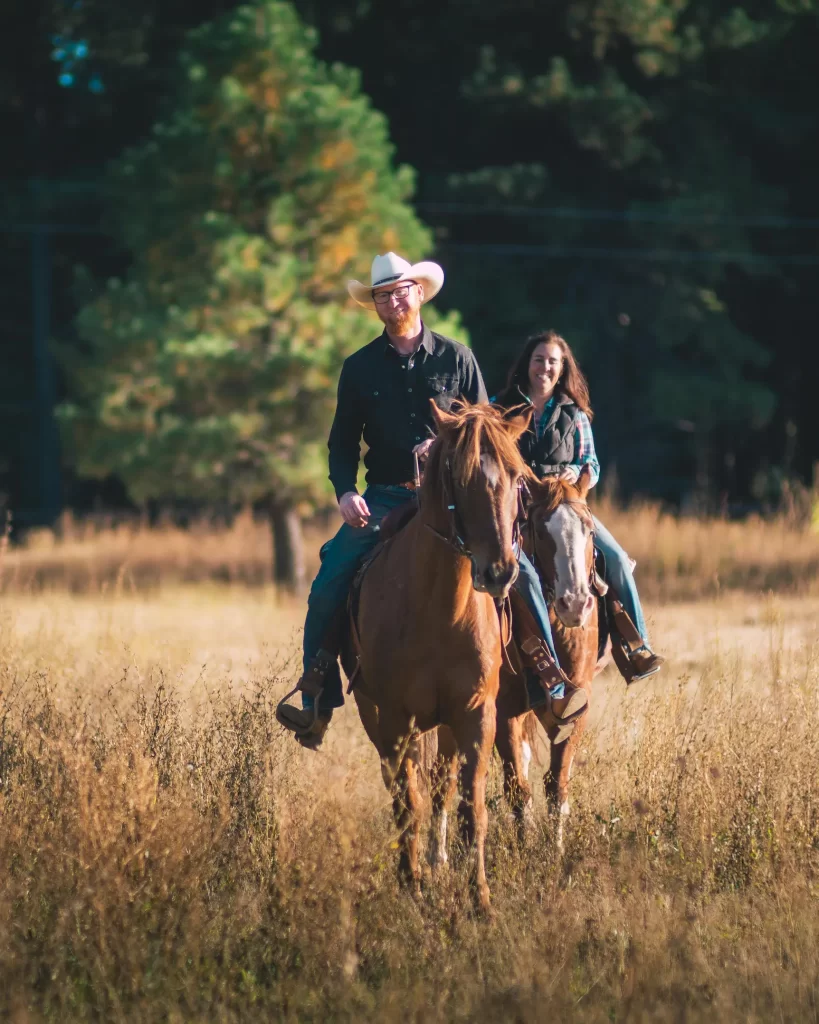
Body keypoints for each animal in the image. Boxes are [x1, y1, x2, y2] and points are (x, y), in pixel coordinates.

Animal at [352, 399, 532, 905]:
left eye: (517, 476)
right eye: (460, 476)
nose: (499, 572)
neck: (439, 608)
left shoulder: (475, 712)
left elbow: (472, 806)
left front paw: (480, 899)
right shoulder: (396, 717)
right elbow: (406, 802)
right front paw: (412, 885)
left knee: (441, 786)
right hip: (379, 717)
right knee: (404, 787)